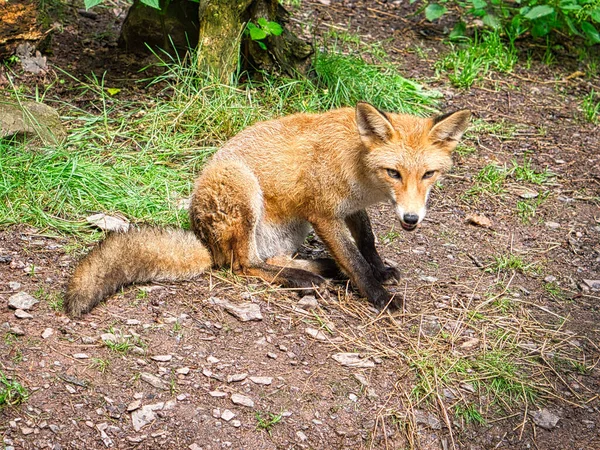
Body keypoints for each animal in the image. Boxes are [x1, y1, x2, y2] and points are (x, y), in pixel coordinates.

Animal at [64, 103, 468, 318]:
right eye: (394, 173)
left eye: (428, 174)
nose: (411, 220)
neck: (360, 170)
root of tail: (204, 242)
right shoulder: (323, 213)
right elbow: (354, 259)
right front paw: (378, 296)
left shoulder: (349, 208)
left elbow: (366, 242)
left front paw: (380, 270)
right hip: (243, 192)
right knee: (242, 266)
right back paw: (304, 278)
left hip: (291, 230)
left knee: (269, 259)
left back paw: (319, 269)